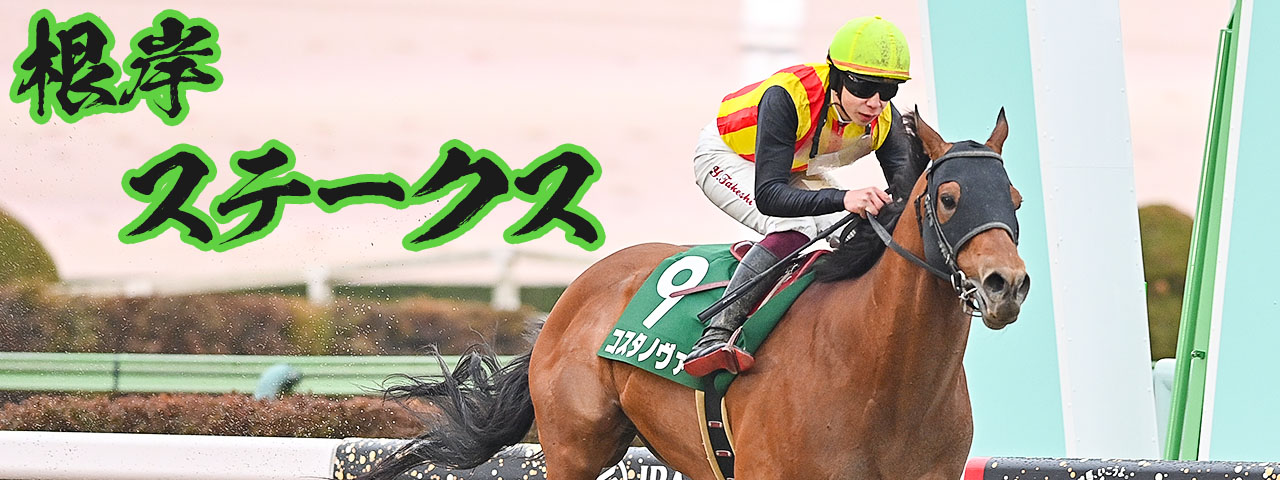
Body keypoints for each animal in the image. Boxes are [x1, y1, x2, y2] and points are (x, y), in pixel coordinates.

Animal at [367, 110, 1030, 480]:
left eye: (1016, 198)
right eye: (949, 198)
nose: (1006, 284)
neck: (879, 373)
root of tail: (572, 294)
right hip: (574, 447)